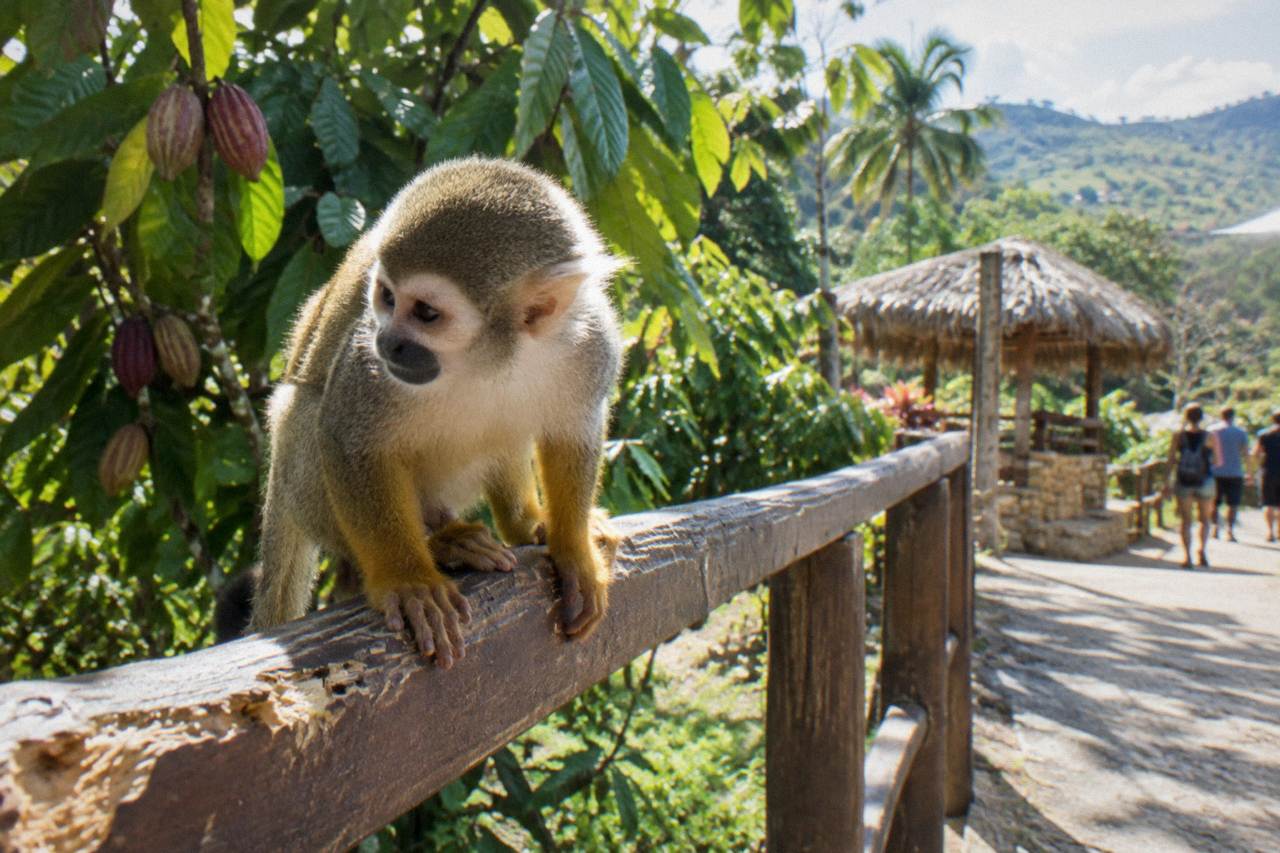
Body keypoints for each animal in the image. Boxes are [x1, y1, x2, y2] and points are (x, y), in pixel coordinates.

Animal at [250, 157, 623, 668]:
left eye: (426, 312)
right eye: (386, 297)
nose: (387, 341)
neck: (494, 356)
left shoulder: (591, 341)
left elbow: (575, 433)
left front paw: (574, 552)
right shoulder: (370, 367)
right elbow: (348, 439)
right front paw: (408, 580)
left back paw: (522, 524)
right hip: (297, 470)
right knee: (303, 415)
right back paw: (441, 544)